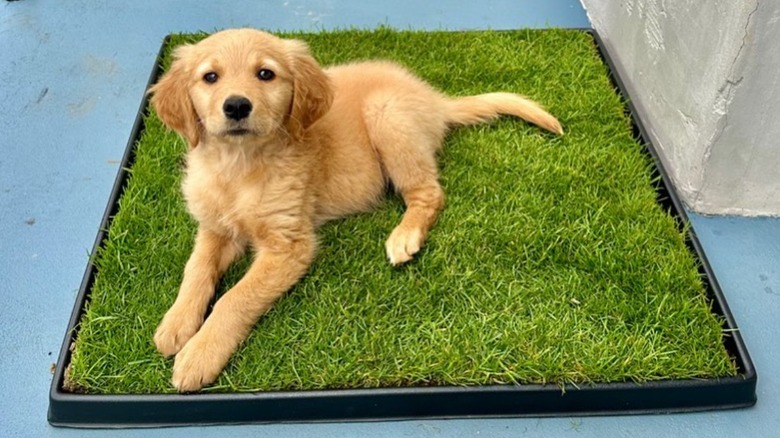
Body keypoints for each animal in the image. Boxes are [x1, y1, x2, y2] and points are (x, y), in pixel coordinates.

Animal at [148, 27, 560, 392]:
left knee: (429, 193)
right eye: (210, 77)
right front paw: (176, 323)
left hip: (387, 117)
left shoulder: (289, 244)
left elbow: (236, 298)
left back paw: (404, 236)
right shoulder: (215, 227)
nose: (236, 106)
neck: (239, 165)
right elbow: (196, 268)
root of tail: (433, 99)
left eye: (265, 73)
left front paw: (199, 354)